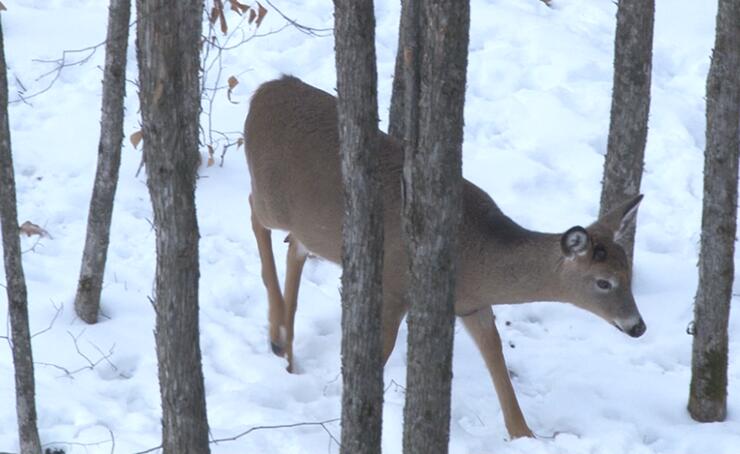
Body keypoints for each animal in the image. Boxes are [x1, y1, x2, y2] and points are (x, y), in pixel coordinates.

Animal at [246, 76, 644, 442]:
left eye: (629, 272)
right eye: (603, 282)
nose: (637, 326)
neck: (476, 256)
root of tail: (264, 91)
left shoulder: (471, 305)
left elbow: (495, 355)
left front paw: (524, 434)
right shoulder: (394, 285)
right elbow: (381, 351)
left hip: (307, 225)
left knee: (296, 245)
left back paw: (285, 346)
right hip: (271, 199)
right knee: (255, 212)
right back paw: (277, 332)